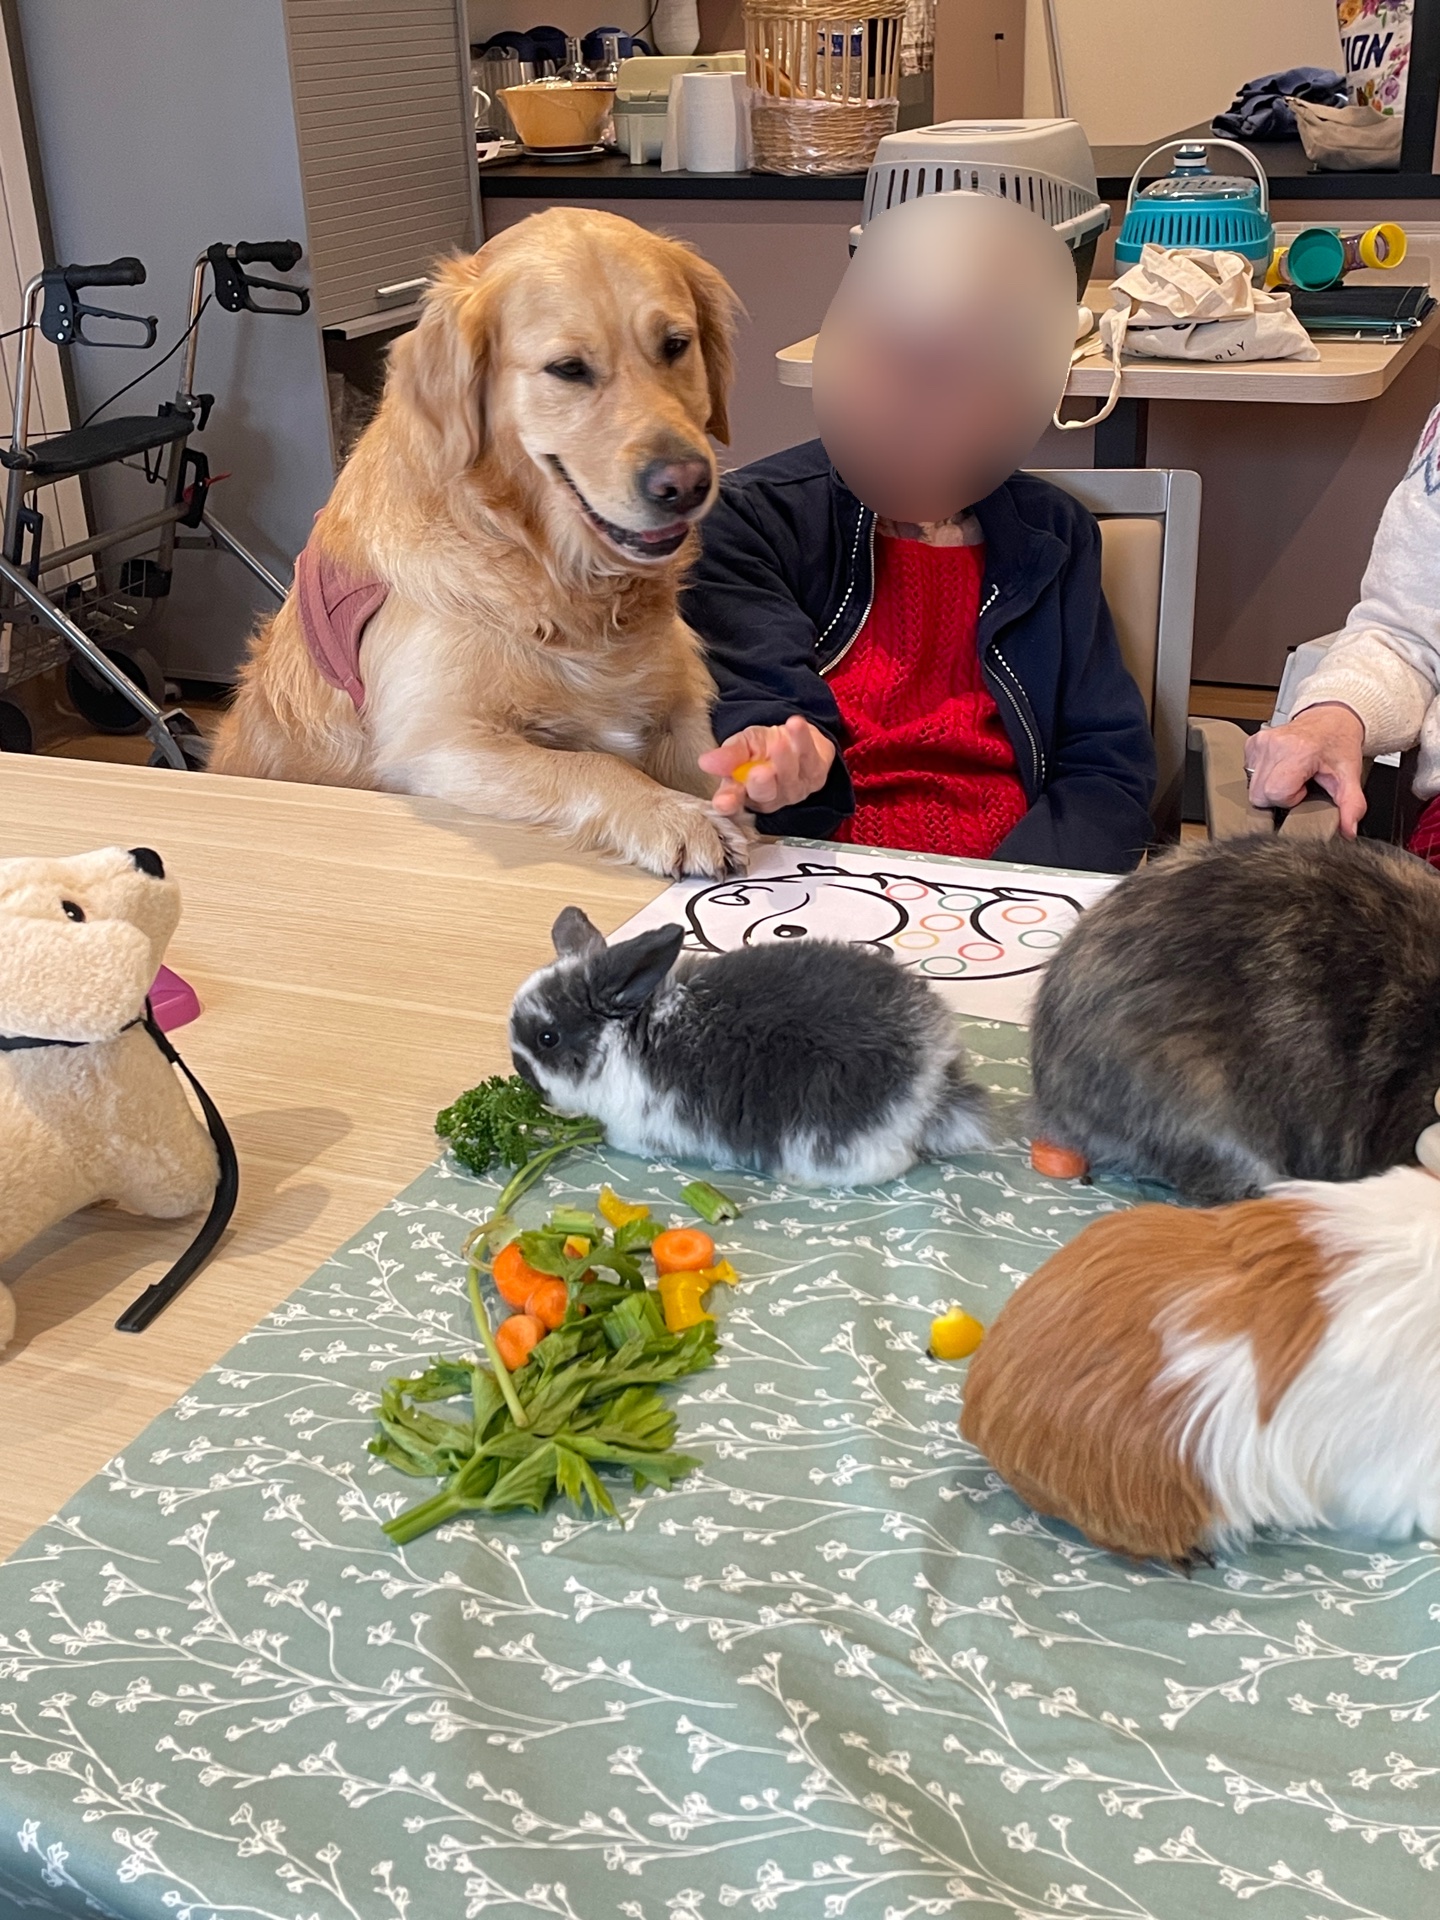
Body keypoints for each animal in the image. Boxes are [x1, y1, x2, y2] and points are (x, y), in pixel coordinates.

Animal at [209, 208, 751, 879]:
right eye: (568, 369)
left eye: (676, 345)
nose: (685, 484)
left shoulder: (679, 708)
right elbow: (591, 763)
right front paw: (673, 816)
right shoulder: (439, 744)